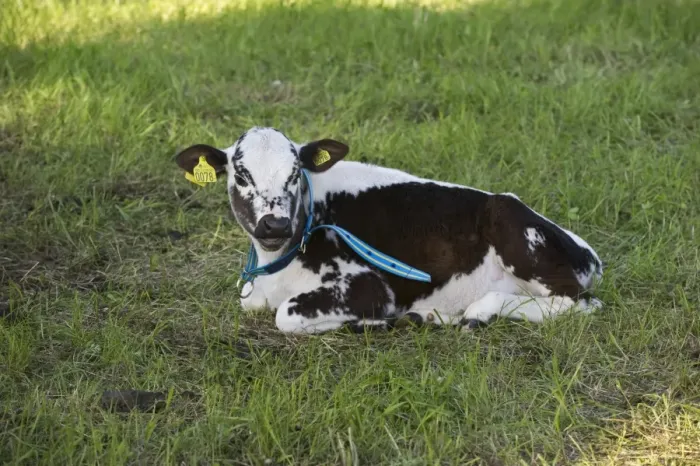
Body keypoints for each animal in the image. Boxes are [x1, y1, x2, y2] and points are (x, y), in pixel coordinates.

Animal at [175, 127, 603, 334]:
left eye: (295, 172)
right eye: (241, 174)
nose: (275, 223)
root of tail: (590, 255)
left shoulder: (369, 286)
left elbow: (286, 315)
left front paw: (373, 323)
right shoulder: (254, 293)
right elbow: (253, 303)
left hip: (514, 225)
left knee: (580, 303)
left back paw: (478, 311)